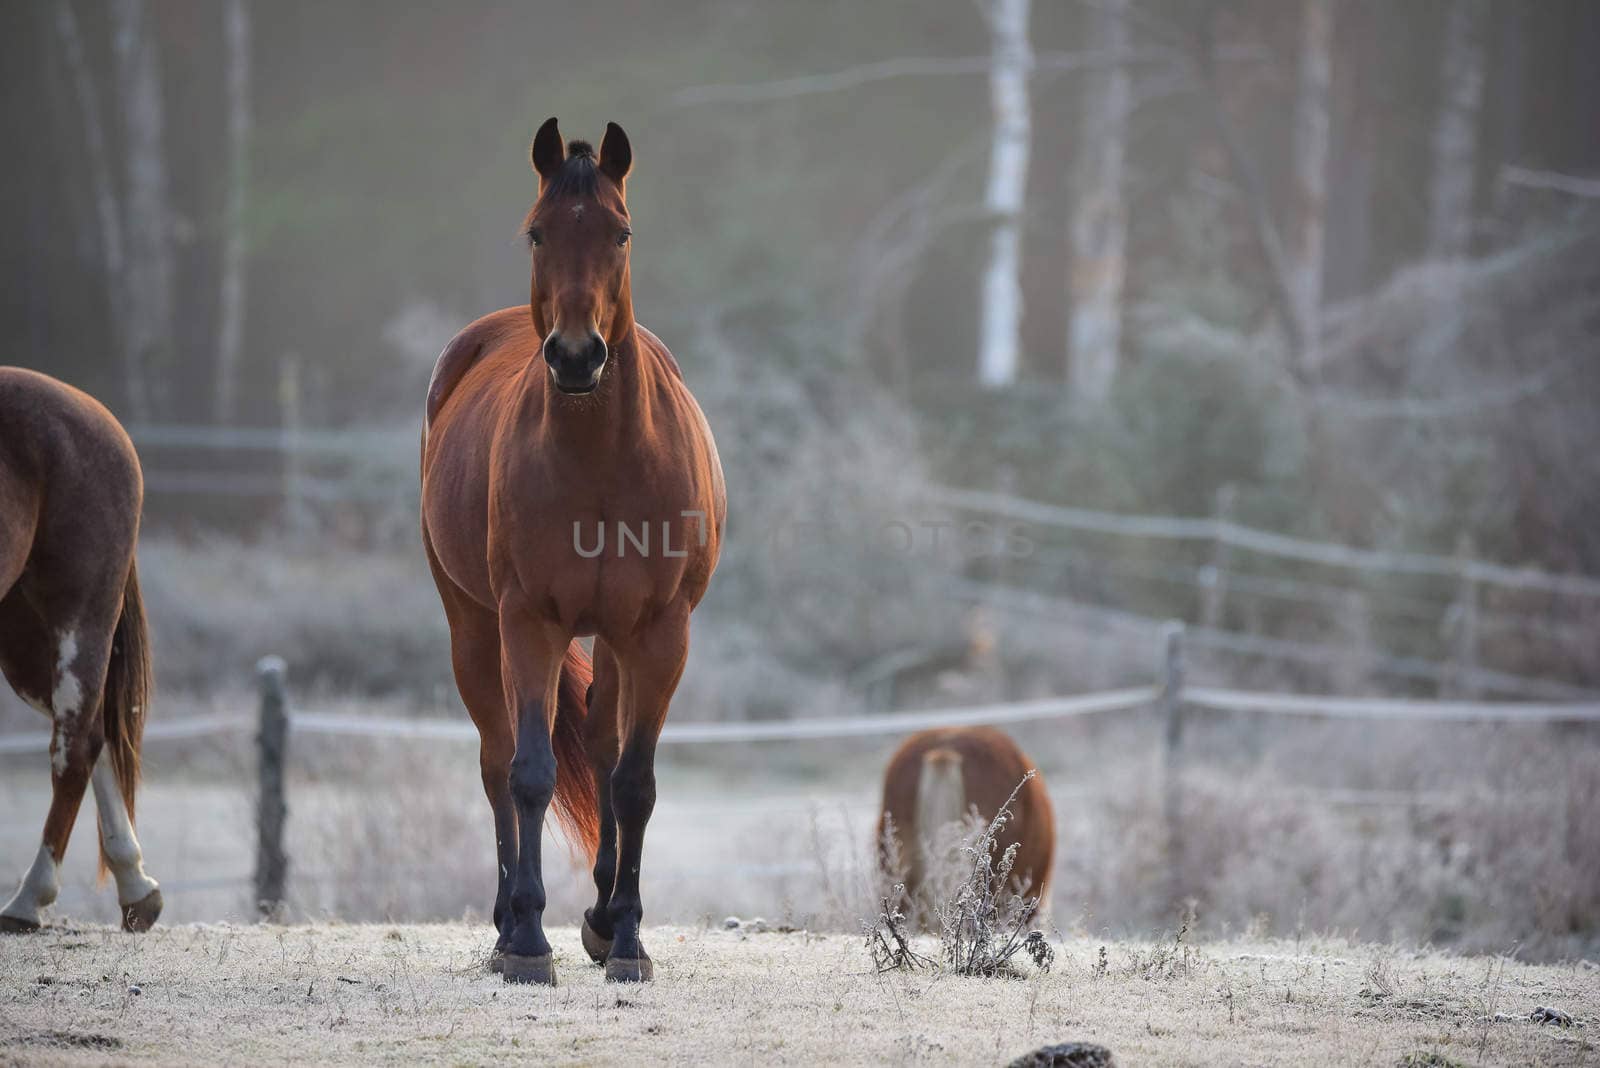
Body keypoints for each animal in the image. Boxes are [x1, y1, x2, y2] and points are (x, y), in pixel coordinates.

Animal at [0, 367, 160, 933]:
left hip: (79, 615)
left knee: (74, 749)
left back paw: (28, 899)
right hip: (21, 632)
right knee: (94, 733)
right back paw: (136, 886)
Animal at [425, 119, 726, 984]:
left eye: (621, 232)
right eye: (538, 231)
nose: (575, 355)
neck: (602, 461)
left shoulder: (659, 632)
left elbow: (632, 781)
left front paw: (626, 939)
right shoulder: (530, 621)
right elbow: (529, 773)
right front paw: (527, 941)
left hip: (617, 640)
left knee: (601, 746)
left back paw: (597, 920)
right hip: (473, 626)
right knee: (497, 757)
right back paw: (506, 924)